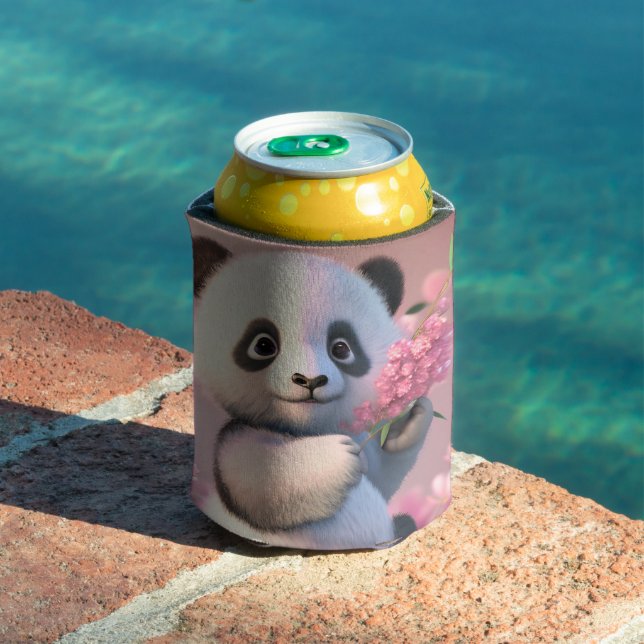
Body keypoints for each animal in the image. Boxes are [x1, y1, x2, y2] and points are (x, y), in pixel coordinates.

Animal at [193, 237, 433, 550]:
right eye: (263, 345)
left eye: (341, 348)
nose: (310, 380)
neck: (307, 430)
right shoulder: (238, 439)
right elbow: (265, 482)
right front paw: (340, 456)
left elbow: (384, 475)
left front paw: (408, 416)